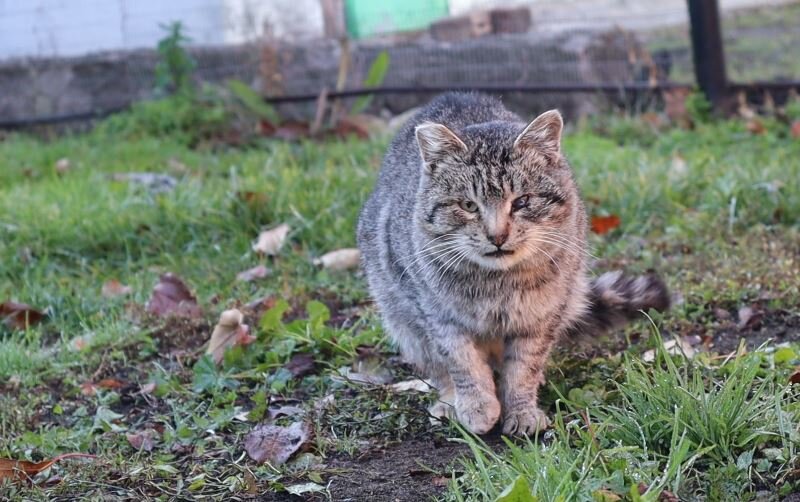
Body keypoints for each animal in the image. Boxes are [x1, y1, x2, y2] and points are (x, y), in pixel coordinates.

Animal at [356, 94, 668, 436]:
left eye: (522, 202)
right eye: (468, 205)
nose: (497, 236)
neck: (497, 283)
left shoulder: (542, 315)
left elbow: (523, 368)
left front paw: (521, 410)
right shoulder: (436, 313)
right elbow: (461, 362)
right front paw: (477, 406)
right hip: (401, 317)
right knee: (437, 366)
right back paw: (449, 403)